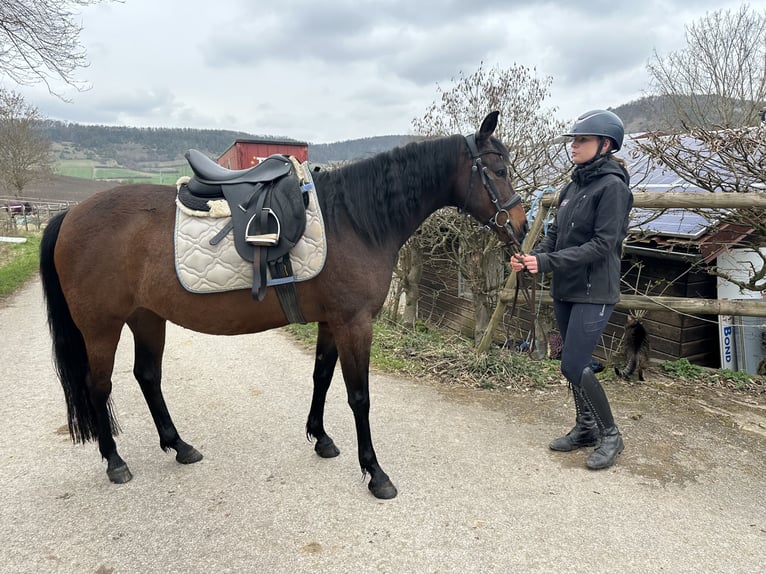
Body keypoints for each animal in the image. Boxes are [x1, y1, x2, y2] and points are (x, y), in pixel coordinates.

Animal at [39, 111, 527, 499]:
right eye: (499, 168)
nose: (522, 226)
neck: (354, 220)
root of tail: (69, 214)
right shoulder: (354, 323)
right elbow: (359, 397)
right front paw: (375, 472)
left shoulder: (332, 322)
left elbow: (322, 377)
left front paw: (321, 438)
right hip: (102, 327)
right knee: (99, 387)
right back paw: (115, 461)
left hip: (147, 319)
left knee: (147, 377)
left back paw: (179, 446)